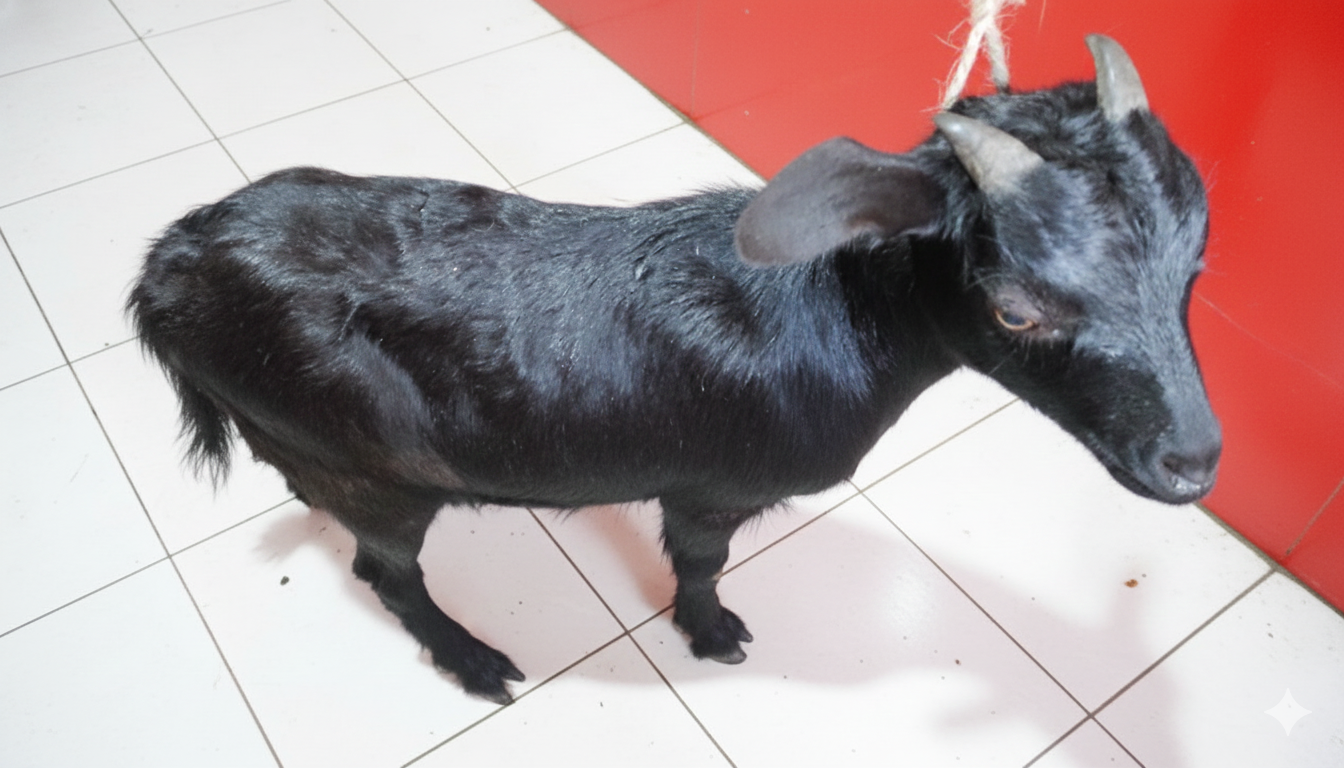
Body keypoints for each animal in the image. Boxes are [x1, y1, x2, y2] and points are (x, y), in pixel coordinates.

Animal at [128, 35, 1220, 704]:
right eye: (1015, 307)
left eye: (1196, 263)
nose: (1194, 464)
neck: (829, 313)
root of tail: (168, 270)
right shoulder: (712, 486)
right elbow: (700, 561)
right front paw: (713, 632)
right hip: (374, 469)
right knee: (384, 572)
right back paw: (474, 658)